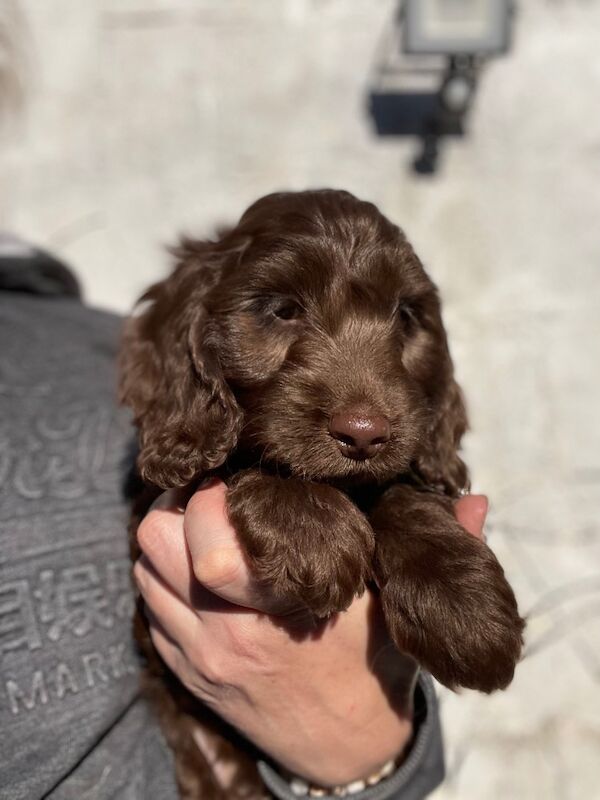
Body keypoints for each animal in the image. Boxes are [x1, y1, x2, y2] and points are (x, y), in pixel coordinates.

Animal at [122, 191, 524, 796]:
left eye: (405, 317)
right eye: (283, 311)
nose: (363, 433)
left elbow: (401, 490)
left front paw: (467, 611)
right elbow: (235, 460)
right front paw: (313, 533)